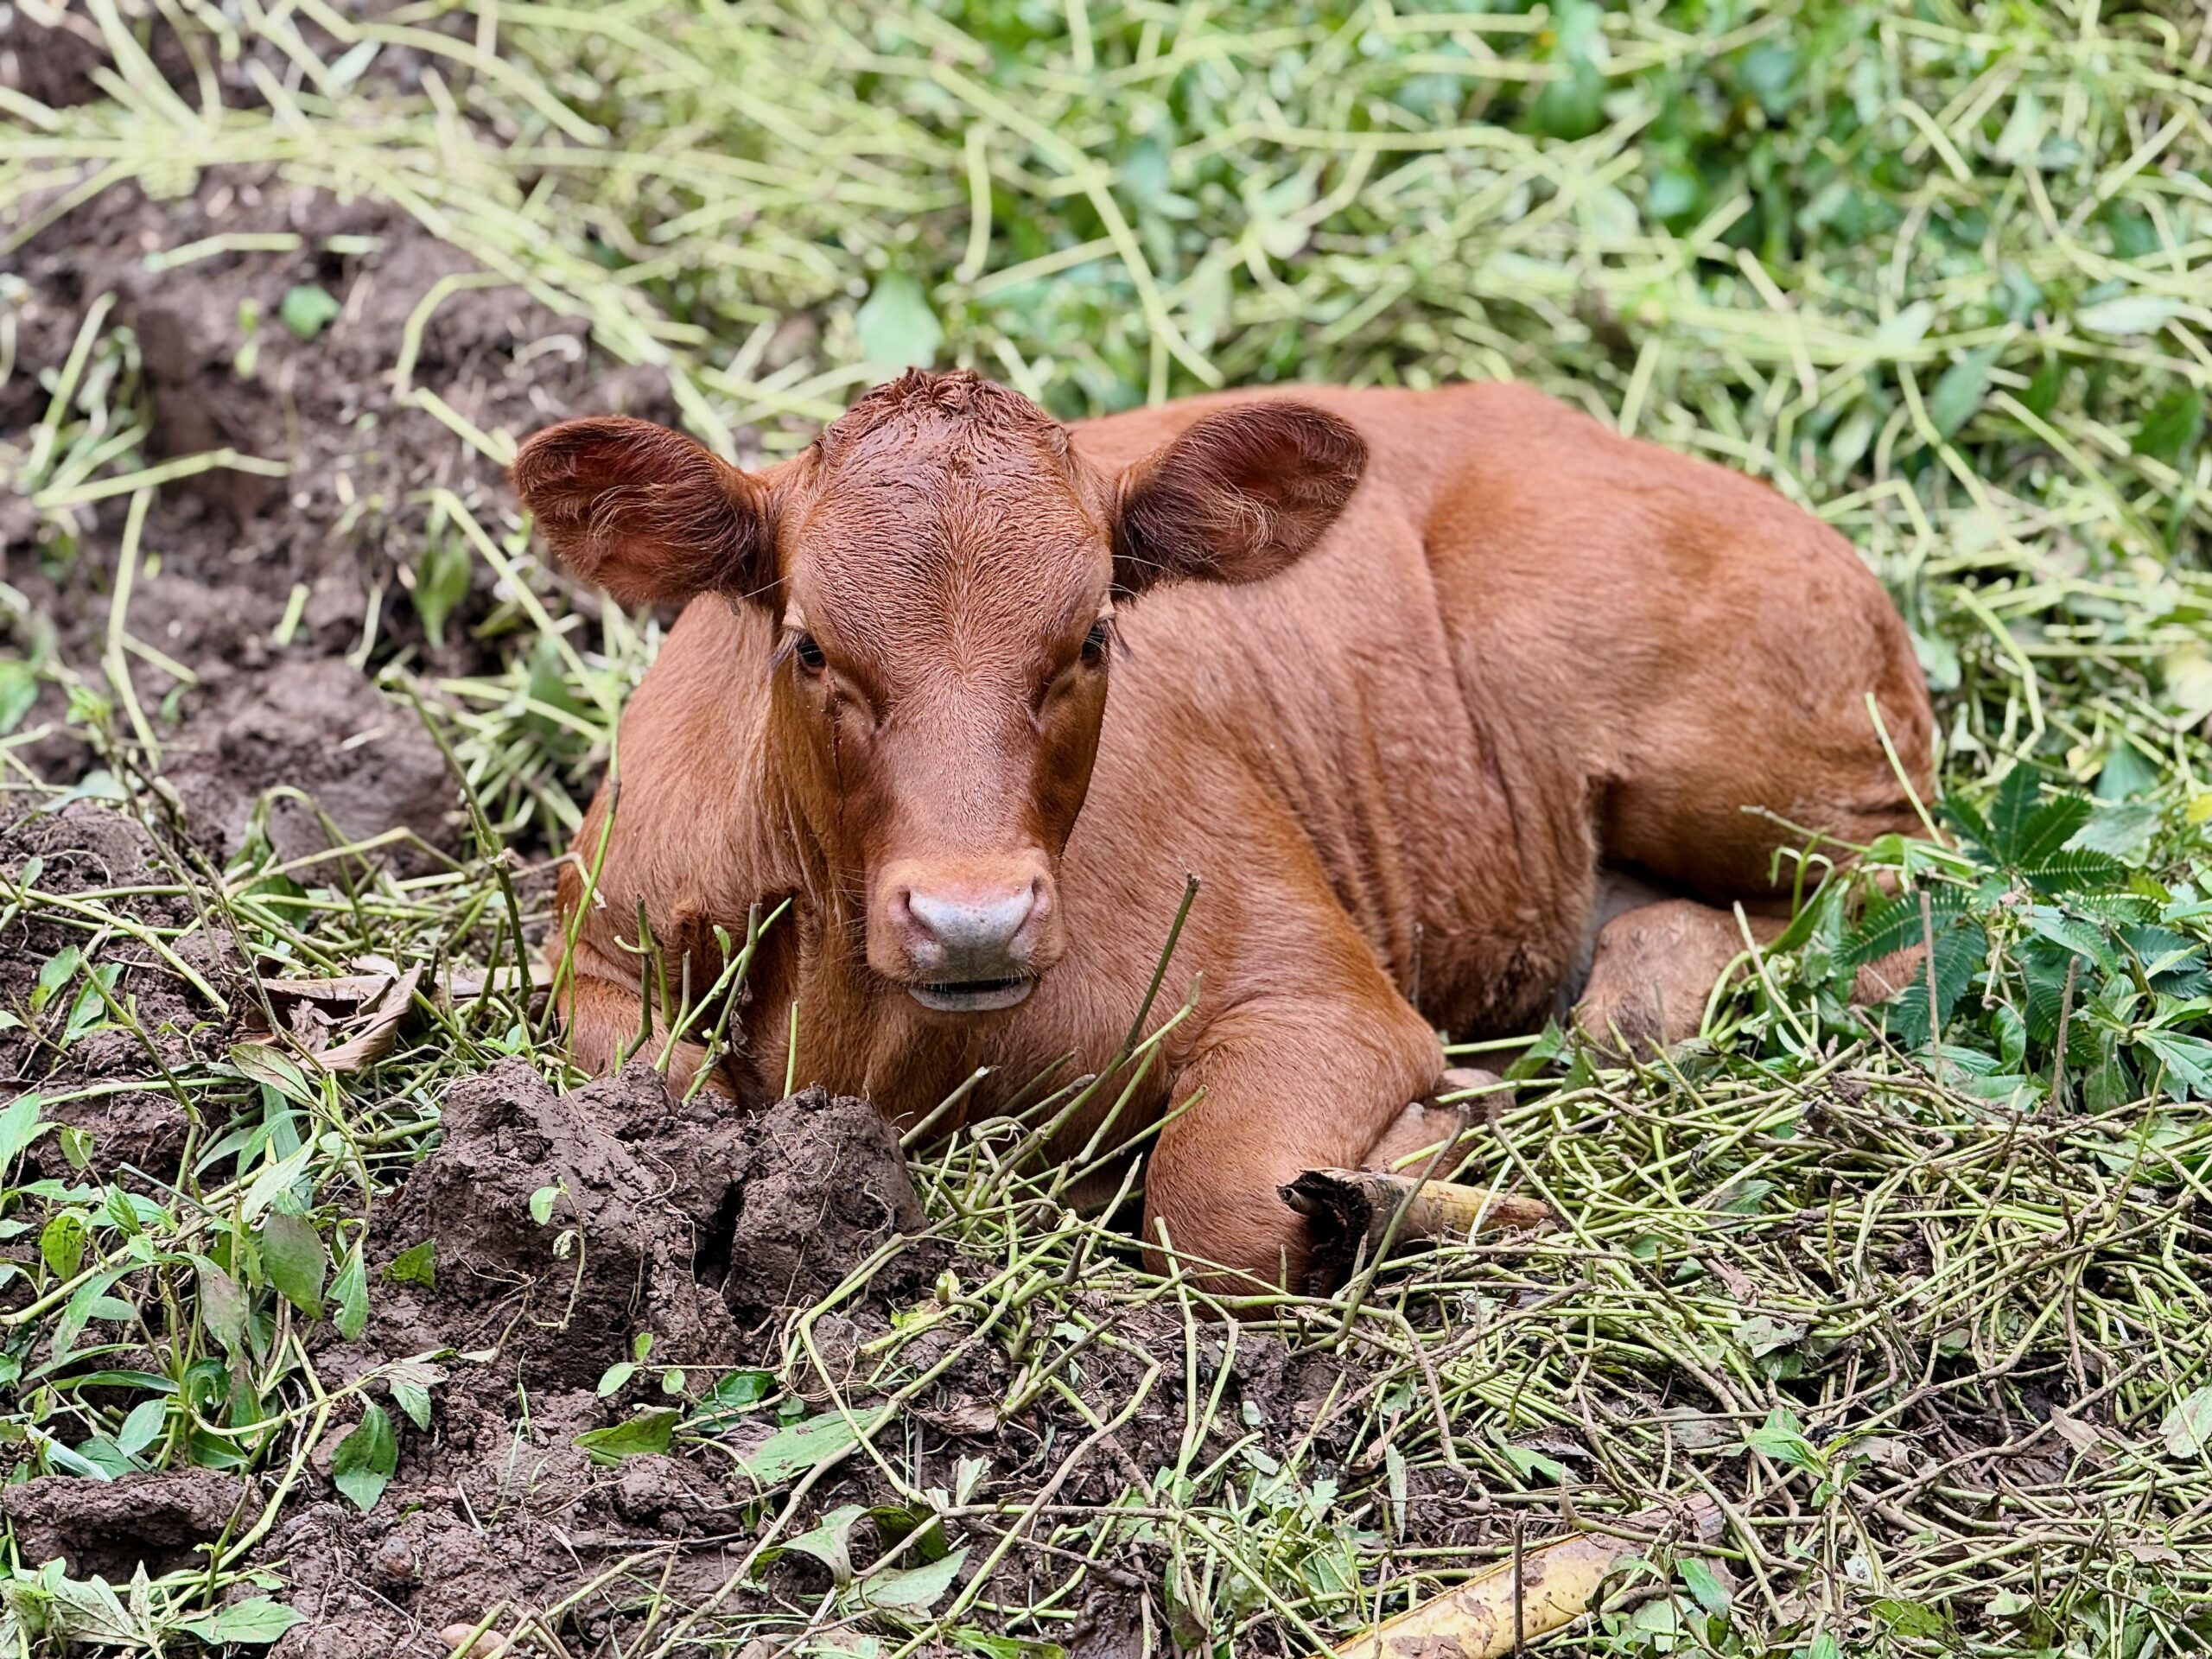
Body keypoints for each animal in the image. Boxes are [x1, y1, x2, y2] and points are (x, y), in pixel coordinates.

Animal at [511, 369, 1934, 1295]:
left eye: (1093, 636)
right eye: (809, 645)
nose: (973, 919)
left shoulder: (1323, 1000)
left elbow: (1210, 1209)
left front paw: (1402, 1164)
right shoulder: (602, 945)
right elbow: (668, 1091)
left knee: (1907, 888)